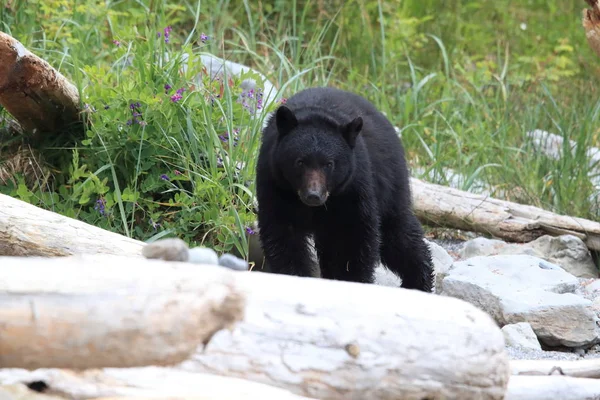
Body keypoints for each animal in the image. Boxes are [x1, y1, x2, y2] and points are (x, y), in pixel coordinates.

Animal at [255, 86, 434, 290]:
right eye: (300, 162)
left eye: (329, 164)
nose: (313, 195)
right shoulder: (275, 182)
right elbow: (282, 234)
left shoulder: (353, 187)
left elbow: (353, 237)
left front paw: (352, 280)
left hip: (389, 181)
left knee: (397, 233)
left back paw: (418, 281)